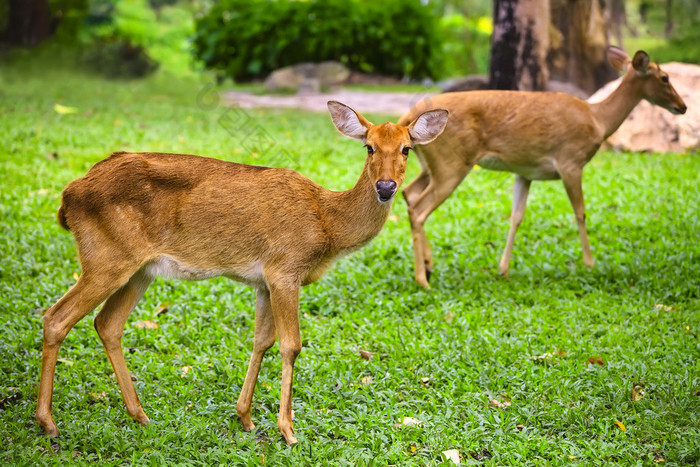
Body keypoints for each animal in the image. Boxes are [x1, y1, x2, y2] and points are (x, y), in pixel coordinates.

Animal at [34, 101, 448, 446]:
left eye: (407, 148)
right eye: (369, 147)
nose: (386, 186)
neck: (327, 223)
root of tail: (67, 198)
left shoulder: (263, 281)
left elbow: (261, 341)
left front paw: (245, 418)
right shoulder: (285, 269)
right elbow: (292, 344)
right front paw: (288, 430)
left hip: (139, 269)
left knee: (107, 323)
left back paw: (140, 415)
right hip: (106, 257)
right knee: (56, 317)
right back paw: (48, 422)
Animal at [402, 48, 688, 288]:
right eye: (664, 77)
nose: (683, 106)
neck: (598, 119)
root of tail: (408, 118)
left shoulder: (524, 172)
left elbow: (516, 216)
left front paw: (503, 269)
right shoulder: (570, 162)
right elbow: (580, 212)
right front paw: (589, 263)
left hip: (431, 165)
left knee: (409, 193)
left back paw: (428, 266)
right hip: (452, 163)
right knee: (419, 209)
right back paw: (422, 279)